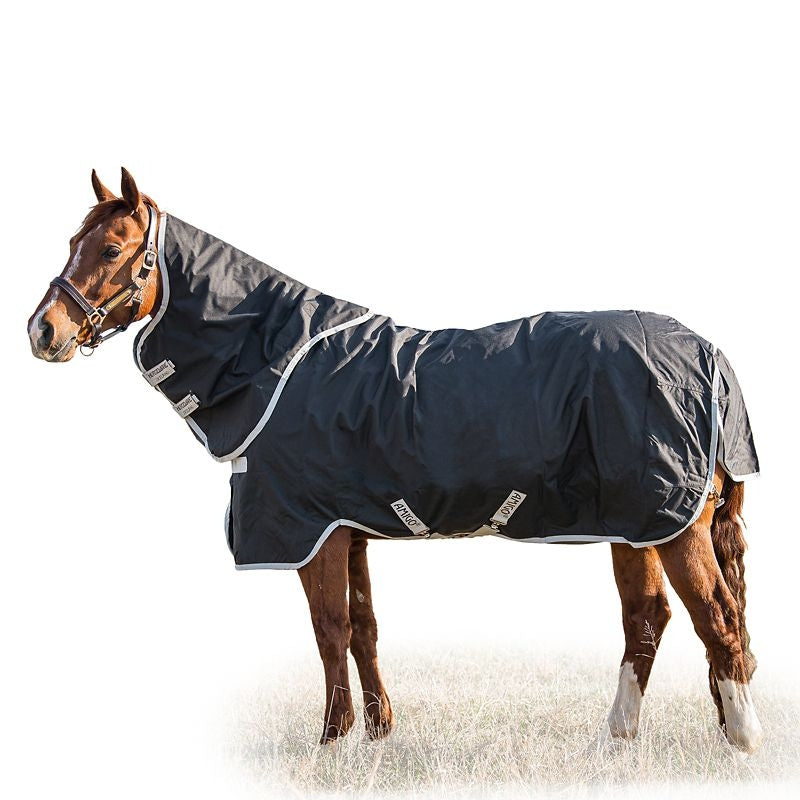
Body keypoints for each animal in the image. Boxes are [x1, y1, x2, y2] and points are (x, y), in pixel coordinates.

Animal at [28, 168, 763, 752]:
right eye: (71, 243)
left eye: (113, 248)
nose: (42, 331)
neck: (278, 357)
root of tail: (711, 357)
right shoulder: (348, 528)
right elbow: (364, 628)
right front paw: (379, 734)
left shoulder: (312, 531)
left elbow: (329, 629)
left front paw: (331, 742)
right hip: (636, 525)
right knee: (649, 619)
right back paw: (617, 739)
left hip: (673, 522)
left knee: (716, 617)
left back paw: (743, 738)